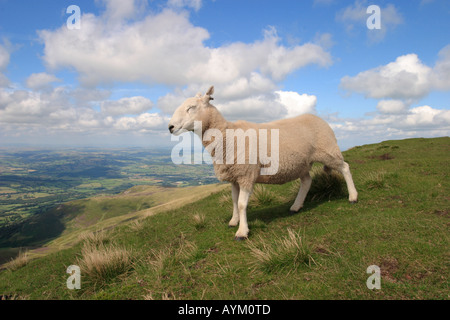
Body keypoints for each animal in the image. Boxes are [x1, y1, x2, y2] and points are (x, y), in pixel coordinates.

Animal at [169, 85, 358, 240]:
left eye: (191, 107)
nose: (170, 127)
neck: (227, 135)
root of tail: (319, 118)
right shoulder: (234, 176)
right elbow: (233, 200)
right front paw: (233, 221)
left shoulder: (246, 174)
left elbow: (242, 204)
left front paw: (242, 231)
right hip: (302, 163)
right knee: (306, 181)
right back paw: (296, 206)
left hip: (328, 150)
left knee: (345, 167)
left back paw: (353, 197)